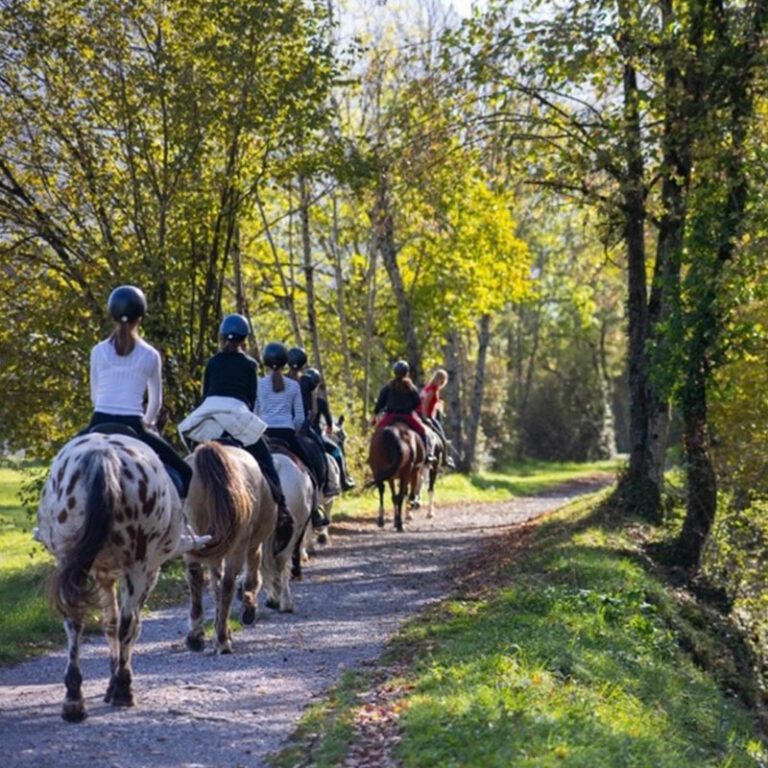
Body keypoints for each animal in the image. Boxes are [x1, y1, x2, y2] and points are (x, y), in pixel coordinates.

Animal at [34, 431, 208, 722]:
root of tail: (103, 456)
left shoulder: (103, 575)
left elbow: (110, 624)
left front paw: (109, 682)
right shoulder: (148, 572)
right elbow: (128, 625)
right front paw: (116, 683)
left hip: (73, 562)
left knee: (74, 622)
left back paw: (74, 699)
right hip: (137, 567)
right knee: (128, 624)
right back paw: (124, 690)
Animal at [183, 441, 275, 654]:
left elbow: (215, 585)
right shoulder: (252, 546)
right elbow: (249, 579)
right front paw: (247, 610)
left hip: (193, 538)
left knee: (196, 579)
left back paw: (196, 637)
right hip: (239, 547)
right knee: (228, 584)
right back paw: (222, 640)